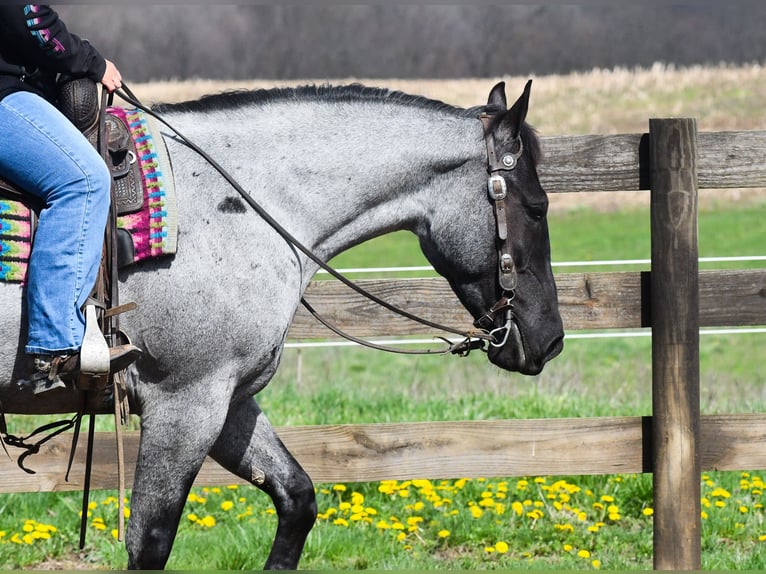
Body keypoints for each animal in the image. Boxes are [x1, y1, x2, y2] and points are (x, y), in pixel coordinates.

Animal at [0, 80, 564, 569]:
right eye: (537, 208)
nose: (552, 340)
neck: (234, 205)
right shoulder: (184, 405)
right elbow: (152, 541)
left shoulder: (228, 400)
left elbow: (297, 497)